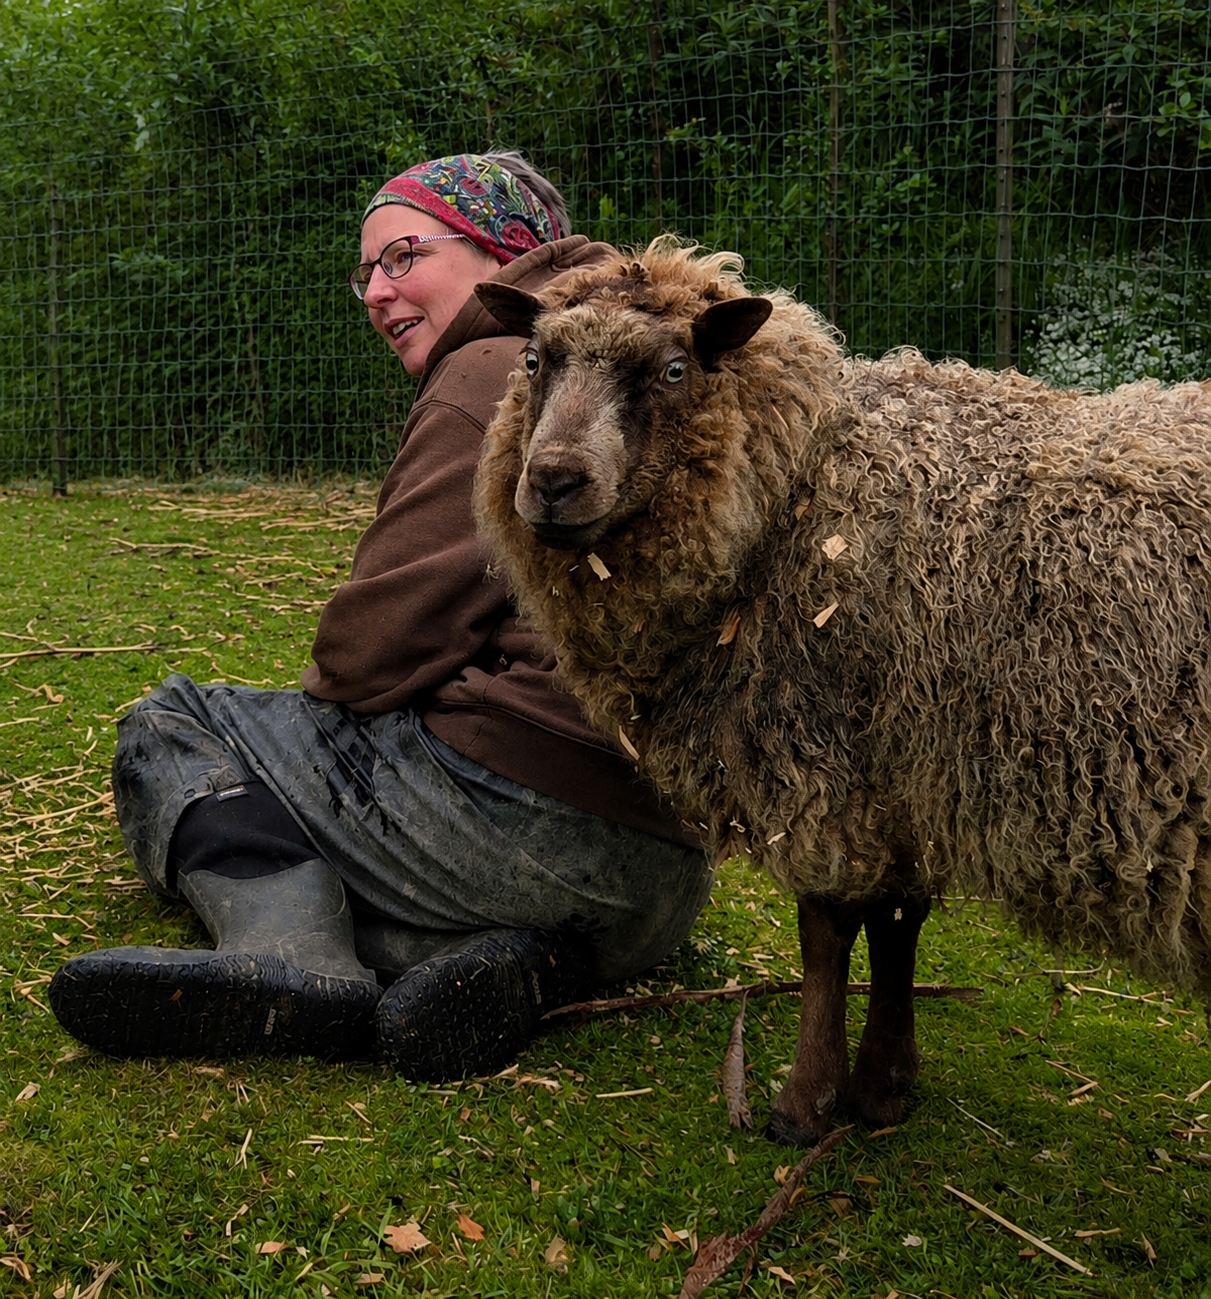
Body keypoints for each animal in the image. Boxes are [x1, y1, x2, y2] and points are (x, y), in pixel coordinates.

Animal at [471, 238, 1211, 1146]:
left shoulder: (822, 763)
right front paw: (884, 1085)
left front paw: (803, 1104)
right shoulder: (900, 776)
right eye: (533, 360)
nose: (552, 481)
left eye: (676, 369)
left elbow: (824, 933)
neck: (797, 487)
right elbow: (897, 925)